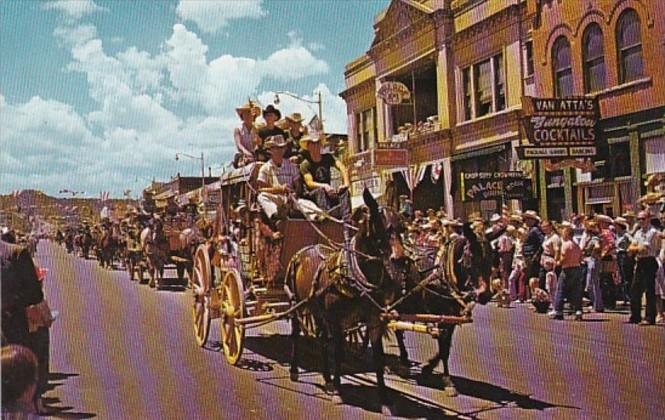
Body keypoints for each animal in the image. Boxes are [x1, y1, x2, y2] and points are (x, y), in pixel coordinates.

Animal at [286, 190, 404, 414]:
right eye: (378, 224)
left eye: (402, 226)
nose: (400, 259)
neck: (357, 276)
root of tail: (302, 252)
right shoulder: (337, 321)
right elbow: (339, 352)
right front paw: (339, 391)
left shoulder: (374, 321)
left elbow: (378, 357)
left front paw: (384, 399)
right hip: (298, 303)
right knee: (296, 333)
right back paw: (295, 370)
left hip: (318, 310)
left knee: (322, 340)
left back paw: (327, 379)